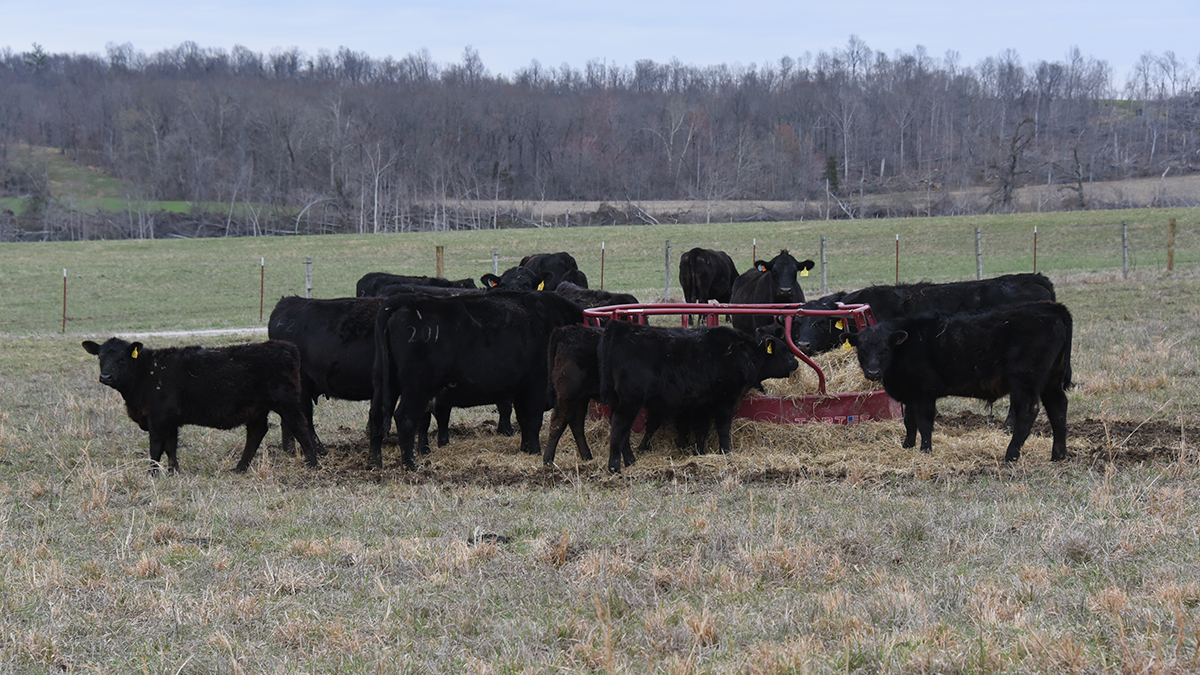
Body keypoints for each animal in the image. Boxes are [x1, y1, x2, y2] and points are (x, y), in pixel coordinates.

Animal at [81, 338, 319, 474]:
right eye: (100, 357)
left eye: (122, 358)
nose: (106, 376)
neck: (146, 372)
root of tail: (284, 347)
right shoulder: (170, 420)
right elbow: (171, 446)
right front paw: (173, 471)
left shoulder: (158, 419)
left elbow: (156, 447)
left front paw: (152, 473)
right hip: (257, 409)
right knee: (256, 433)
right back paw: (239, 468)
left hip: (286, 402)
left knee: (300, 426)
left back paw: (313, 463)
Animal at [369, 291, 585, 470]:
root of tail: (406, 300)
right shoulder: (535, 385)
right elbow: (533, 420)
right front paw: (535, 451)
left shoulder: (520, 388)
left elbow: (523, 419)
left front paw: (526, 449)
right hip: (417, 386)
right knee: (404, 418)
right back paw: (410, 464)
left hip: (385, 381)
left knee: (376, 416)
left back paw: (375, 463)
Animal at [599, 321, 798, 473]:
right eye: (785, 351)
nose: (796, 362)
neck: (744, 353)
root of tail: (621, 327)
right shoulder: (726, 400)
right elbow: (723, 428)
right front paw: (726, 452)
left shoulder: (702, 404)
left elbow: (701, 430)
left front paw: (699, 453)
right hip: (630, 401)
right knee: (619, 427)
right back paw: (615, 467)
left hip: (619, 400)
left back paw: (629, 460)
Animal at [845, 301, 1072, 462]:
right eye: (862, 349)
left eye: (885, 349)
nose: (873, 372)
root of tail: (1052, 307)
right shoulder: (911, 393)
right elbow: (909, 422)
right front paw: (907, 446)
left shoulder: (924, 393)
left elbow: (924, 423)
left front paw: (925, 450)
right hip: (1052, 379)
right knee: (1058, 408)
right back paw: (1058, 455)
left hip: (1025, 381)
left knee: (1028, 412)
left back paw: (1011, 455)